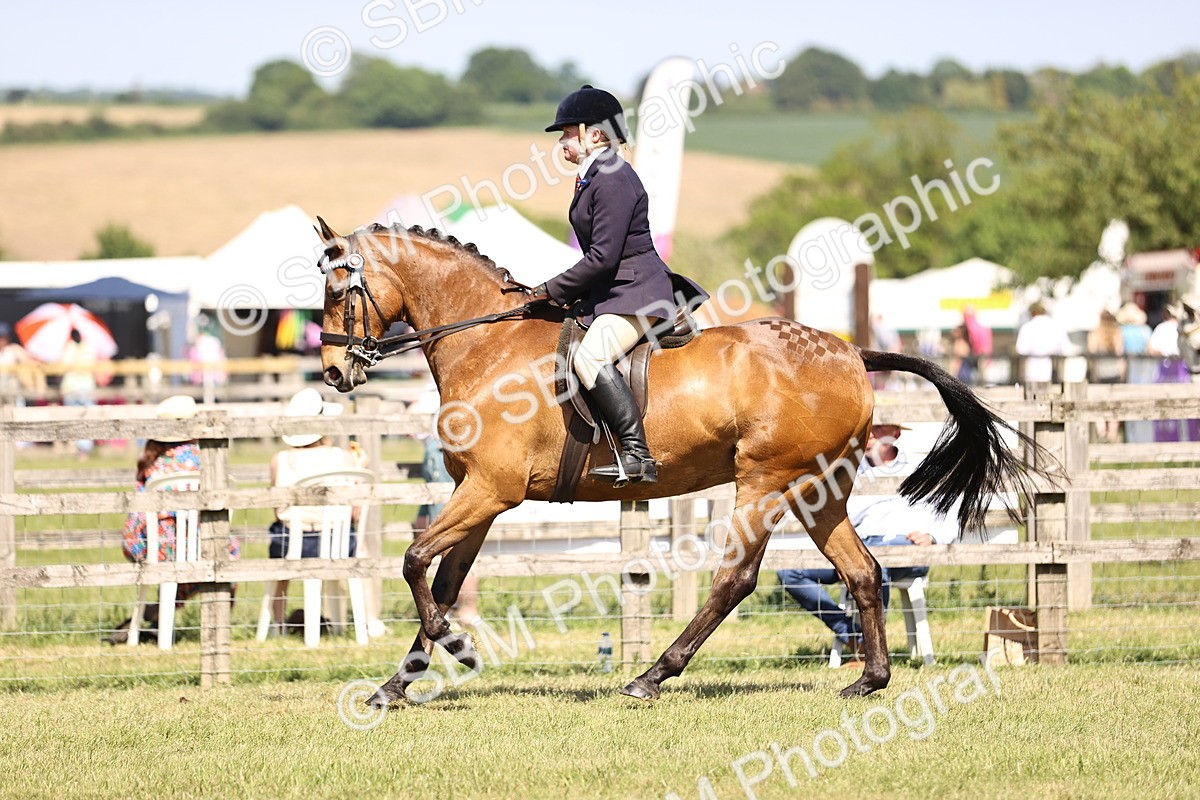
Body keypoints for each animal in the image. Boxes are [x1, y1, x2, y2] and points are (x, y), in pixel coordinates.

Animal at [315, 218, 1039, 704]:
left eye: (339, 290)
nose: (332, 372)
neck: (489, 347)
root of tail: (850, 352)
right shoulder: (481, 496)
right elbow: (441, 579)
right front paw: (400, 683)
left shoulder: (491, 491)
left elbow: (414, 561)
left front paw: (453, 649)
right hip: (820, 489)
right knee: (862, 571)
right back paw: (870, 680)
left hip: (764, 482)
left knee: (734, 580)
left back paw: (652, 675)